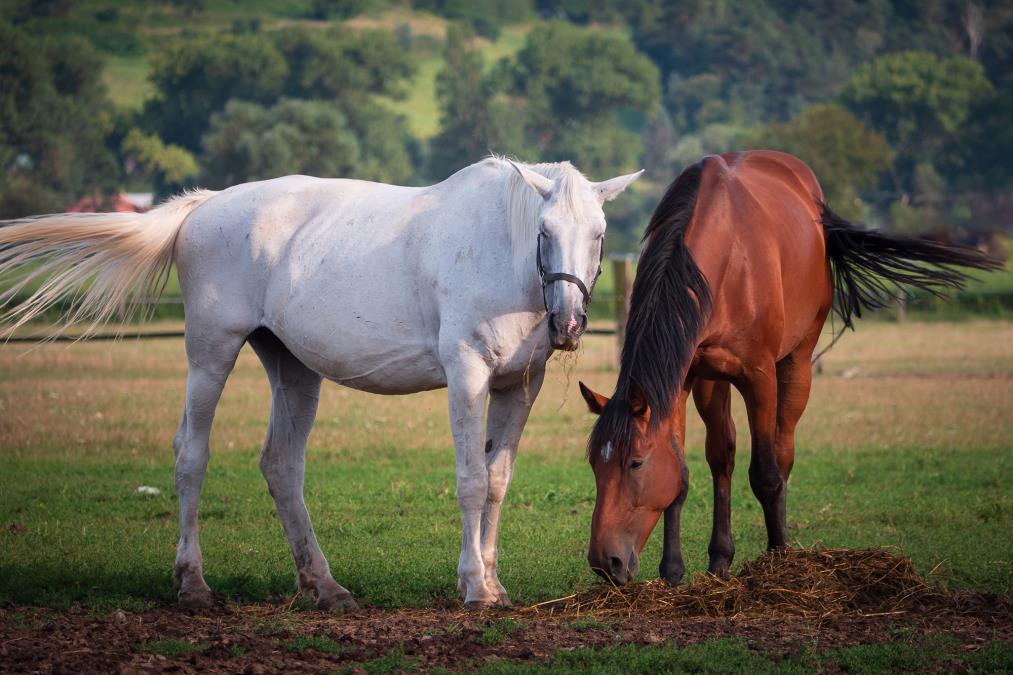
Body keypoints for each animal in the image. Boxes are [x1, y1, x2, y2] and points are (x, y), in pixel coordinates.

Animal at [0, 159, 640, 608]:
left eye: (600, 232)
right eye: (545, 230)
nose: (569, 323)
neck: (498, 251)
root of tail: (203, 208)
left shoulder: (518, 386)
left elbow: (499, 482)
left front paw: (494, 582)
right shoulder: (467, 376)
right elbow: (472, 482)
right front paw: (474, 588)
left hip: (292, 367)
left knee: (281, 465)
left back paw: (325, 586)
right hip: (211, 353)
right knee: (191, 455)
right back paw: (193, 585)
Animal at [575, 150, 1000, 579]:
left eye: (635, 463)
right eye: (594, 464)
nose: (605, 562)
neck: (724, 259)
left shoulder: (759, 376)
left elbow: (766, 473)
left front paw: (777, 563)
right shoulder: (682, 377)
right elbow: (681, 472)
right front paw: (674, 572)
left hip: (797, 361)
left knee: (782, 451)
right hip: (713, 380)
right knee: (723, 454)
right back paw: (720, 559)